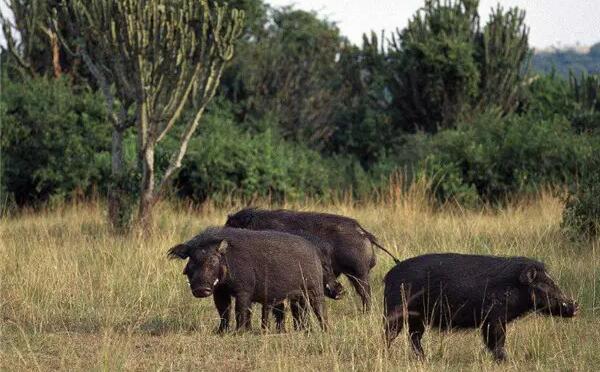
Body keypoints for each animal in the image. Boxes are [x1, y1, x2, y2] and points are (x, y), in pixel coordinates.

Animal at [169, 227, 328, 332]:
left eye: (213, 260)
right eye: (191, 260)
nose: (201, 289)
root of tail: (314, 249)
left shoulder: (243, 291)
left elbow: (240, 310)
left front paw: (239, 332)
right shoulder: (219, 292)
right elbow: (224, 311)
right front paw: (221, 332)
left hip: (315, 289)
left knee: (320, 309)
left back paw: (325, 331)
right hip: (298, 297)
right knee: (302, 312)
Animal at [384, 253, 576, 360]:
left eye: (552, 281)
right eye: (545, 284)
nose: (575, 305)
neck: (513, 287)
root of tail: (388, 276)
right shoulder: (494, 318)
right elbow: (497, 340)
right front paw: (504, 360)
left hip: (416, 317)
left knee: (414, 336)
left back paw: (423, 358)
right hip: (395, 312)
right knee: (390, 334)